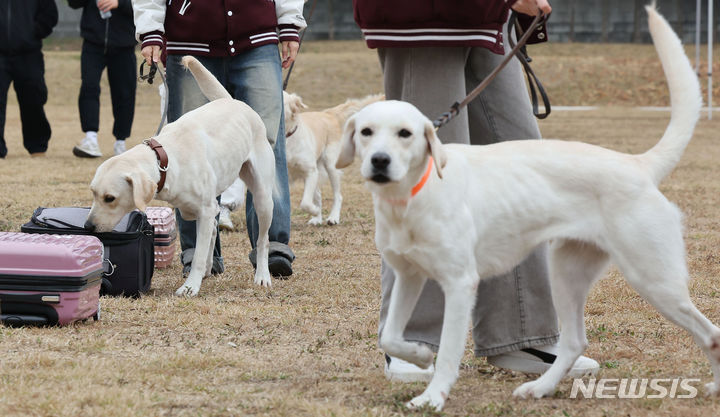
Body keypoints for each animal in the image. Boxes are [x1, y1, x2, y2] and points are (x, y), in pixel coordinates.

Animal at [84, 56, 276, 296]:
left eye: (110, 198)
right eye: (93, 193)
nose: (87, 227)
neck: (165, 159)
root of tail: (233, 101)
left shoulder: (204, 210)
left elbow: (199, 255)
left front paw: (190, 286)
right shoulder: (195, 210)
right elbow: (205, 243)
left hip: (262, 198)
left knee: (263, 240)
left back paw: (262, 275)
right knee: (215, 230)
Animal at [338, 5, 720, 410]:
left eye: (405, 134)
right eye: (365, 132)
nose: (379, 161)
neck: (411, 197)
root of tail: (637, 164)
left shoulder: (460, 284)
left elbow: (449, 355)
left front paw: (433, 397)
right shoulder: (409, 275)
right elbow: (390, 336)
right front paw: (419, 355)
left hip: (654, 279)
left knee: (710, 333)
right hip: (567, 273)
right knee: (574, 341)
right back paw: (541, 387)